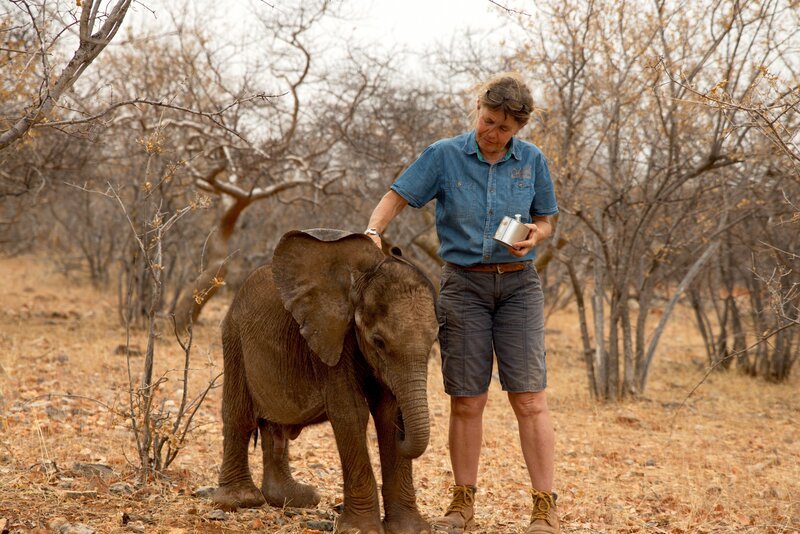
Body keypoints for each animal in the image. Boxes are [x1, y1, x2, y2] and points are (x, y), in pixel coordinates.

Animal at [212, 228, 439, 534]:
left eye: (435, 340)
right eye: (378, 341)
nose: (397, 249)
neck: (360, 280)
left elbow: (388, 412)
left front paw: (412, 530)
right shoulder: (327, 337)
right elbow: (351, 412)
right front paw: (360, 529)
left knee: (274, 427)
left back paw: (295, 498)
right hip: (234, 335)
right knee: (239, 416)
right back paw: (240, 501)